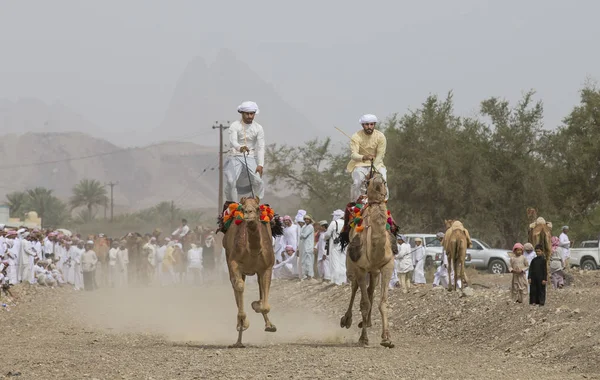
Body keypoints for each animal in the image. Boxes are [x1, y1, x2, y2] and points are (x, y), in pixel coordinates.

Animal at [340, 172, 396, 348]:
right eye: (368, 182)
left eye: (384, 181)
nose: (377, 177)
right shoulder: (360, 268)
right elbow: (364, 304)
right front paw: (363, 338)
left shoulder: (387, 265)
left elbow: (383, 303)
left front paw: (387, 339)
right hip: (352, 265)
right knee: (355, 287)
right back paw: (347, 320)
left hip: (374, 271)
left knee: (370, 289)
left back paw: (367, 322)